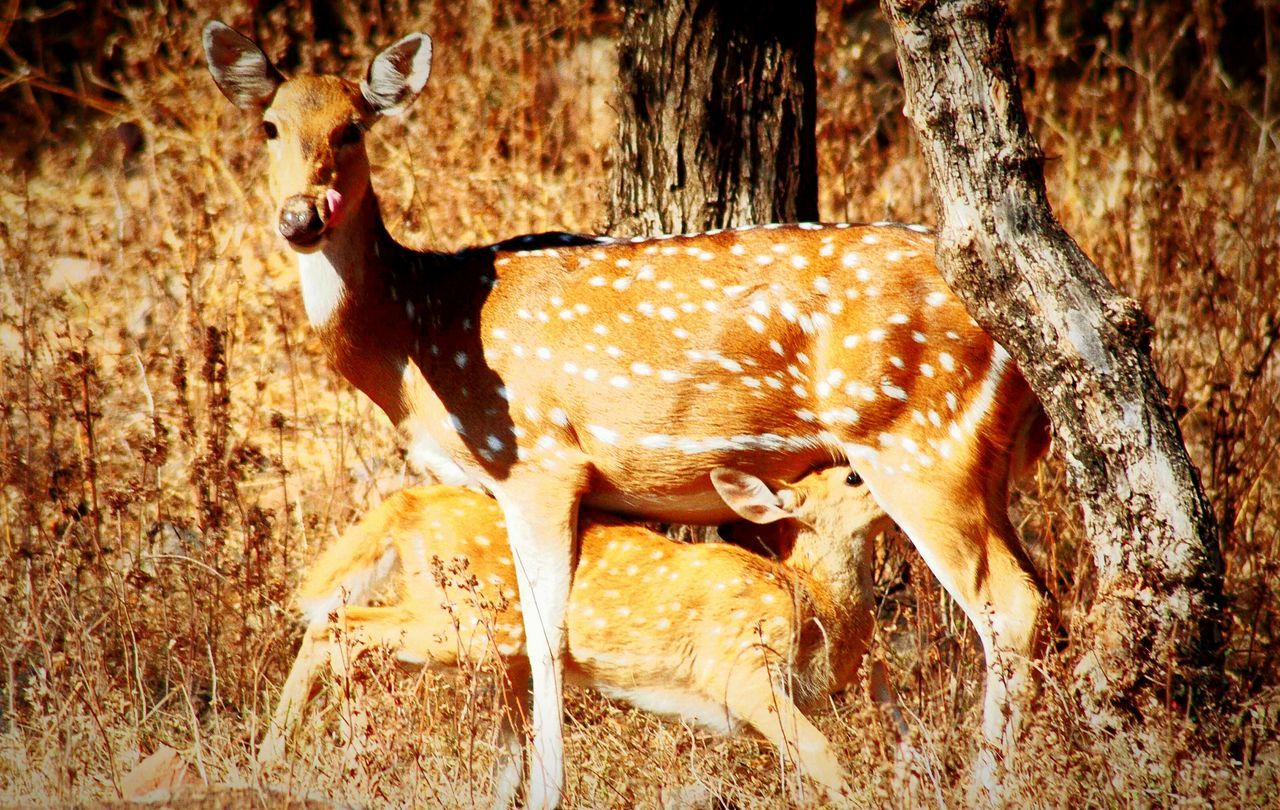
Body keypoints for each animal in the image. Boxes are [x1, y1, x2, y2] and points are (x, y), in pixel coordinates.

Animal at [259, 468, 901, 803]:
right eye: (852, 476)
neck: (813, 601)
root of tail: (411, 504)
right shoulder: (742, 666)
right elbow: (820, 752)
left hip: (489, 645)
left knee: (334, 625)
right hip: (471, 623)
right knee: (341, 629)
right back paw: (328, 758)